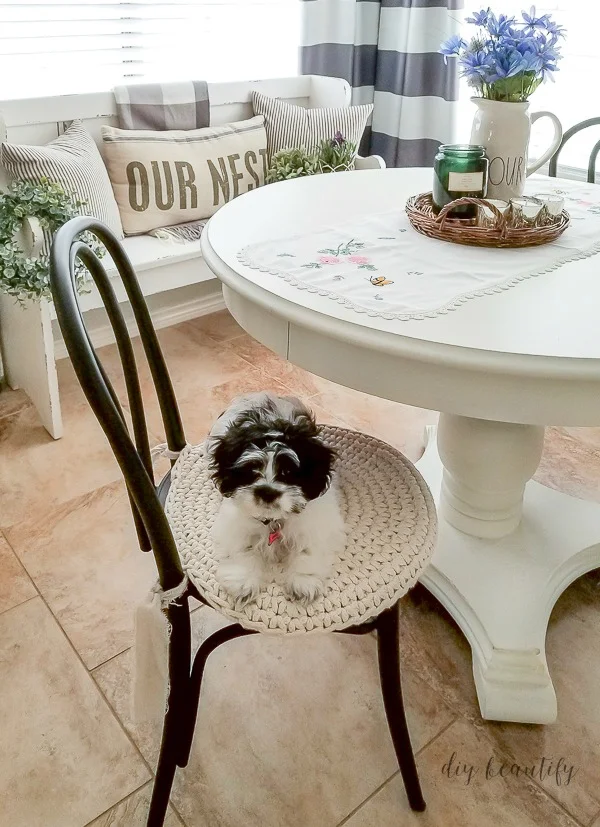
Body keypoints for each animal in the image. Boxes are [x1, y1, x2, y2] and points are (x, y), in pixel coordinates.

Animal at [209, 392, 344, 612]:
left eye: (288, 472)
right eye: (252, 470)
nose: (267, 491)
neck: (274, 519)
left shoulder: (320, 521)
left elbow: (308, 548)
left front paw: (303, 581)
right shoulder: (234, 521)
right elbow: (242, 546)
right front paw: (243, 581)